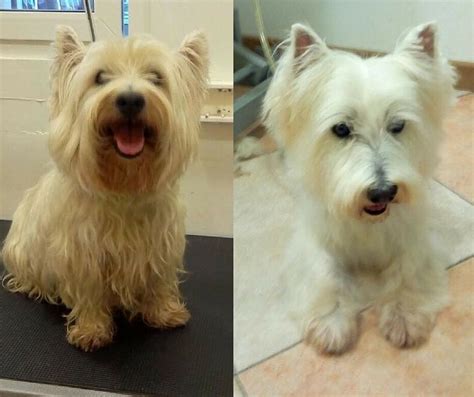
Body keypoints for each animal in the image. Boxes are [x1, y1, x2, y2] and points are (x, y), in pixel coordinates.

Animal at [0, 26, 207, 352]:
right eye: (99, 77)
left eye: (156, 77)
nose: (130, 100)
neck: (123, 188)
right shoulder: (82, 255)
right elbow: (89, 293)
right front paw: (92, 329)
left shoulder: (161, 244)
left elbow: (158, 281)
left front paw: (165, 312)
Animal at [264, 22, 458, 352]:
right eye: (341, 129)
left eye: (398, 125)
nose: (383, 192)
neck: (368, 220)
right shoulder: (314, 239)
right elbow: (324, 271)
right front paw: (331, 322)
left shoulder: (413, 235)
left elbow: (408, 268)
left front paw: (403, 316)